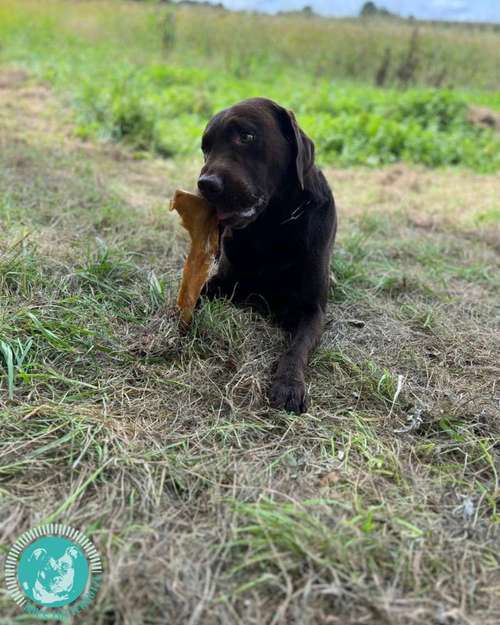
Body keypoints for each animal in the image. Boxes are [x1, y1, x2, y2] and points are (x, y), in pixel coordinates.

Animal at [197, 97, 338, 414]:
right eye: (205, 148)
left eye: (246, 136)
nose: (206, 184)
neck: (271, 226)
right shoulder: (223, 282)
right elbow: (196, 292)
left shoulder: (313, 310)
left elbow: (297, 348)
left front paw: (288, 384)